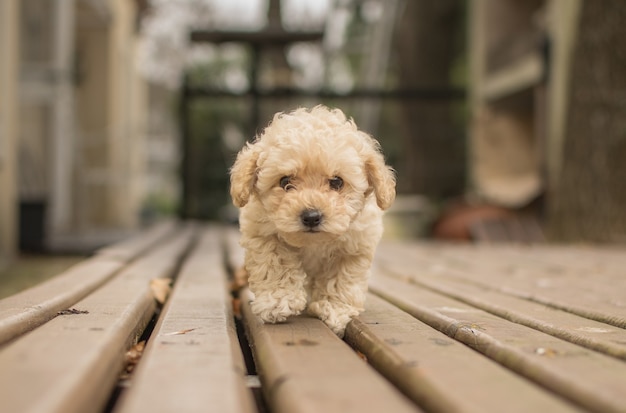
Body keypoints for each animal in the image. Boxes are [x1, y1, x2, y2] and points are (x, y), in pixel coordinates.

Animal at [229, 104, 394, 336]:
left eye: (337, 182)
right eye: (285, 181)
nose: (311, 217)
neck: (313, 243)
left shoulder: (354, 246)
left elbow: (341, 278)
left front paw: (334, 308)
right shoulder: (264, 235)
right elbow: (276, 265)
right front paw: (278, 301)